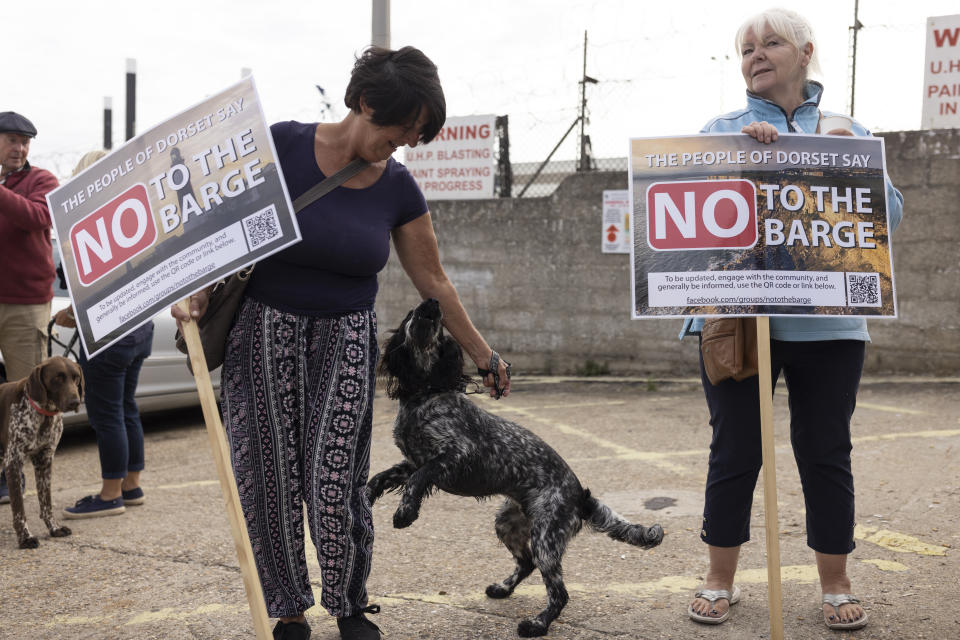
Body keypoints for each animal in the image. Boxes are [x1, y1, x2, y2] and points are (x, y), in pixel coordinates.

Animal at [0, 358, 81, 548]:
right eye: (58, 378)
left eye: (76, 377)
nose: (76, 401)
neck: (42, 414)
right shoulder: (13, 463)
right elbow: (19, 510)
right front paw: (25, 538)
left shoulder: (44, 461)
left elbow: (46, 503)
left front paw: (54, 528)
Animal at [372, 298, 664, 636]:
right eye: (411, 315)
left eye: (440, 327)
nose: (431, 302)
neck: (425, 394)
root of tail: (580, 495)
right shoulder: (412, 460)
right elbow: (381, 478)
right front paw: (364, 498)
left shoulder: (456, 455)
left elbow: (418, 480)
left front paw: (405, 513)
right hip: (508, 524)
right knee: (526, 564)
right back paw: (502, 588)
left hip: (546, 538)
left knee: (559, 592)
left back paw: (537, 624)